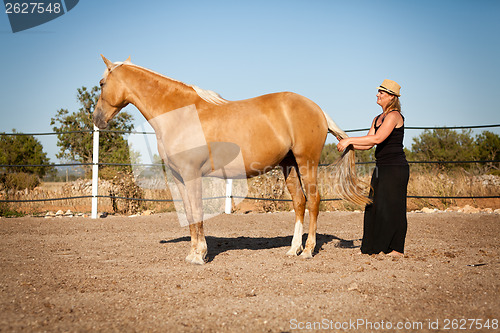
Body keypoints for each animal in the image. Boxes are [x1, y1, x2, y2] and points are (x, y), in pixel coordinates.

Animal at [94, 55, 370, 264]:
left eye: (102, 83)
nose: (97, 119)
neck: (180, 114)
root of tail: (317, 109)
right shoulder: (179, 177)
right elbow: (190, 213)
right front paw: (192, 254)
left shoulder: (192, 175)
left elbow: (198, 212)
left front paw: (200, 255)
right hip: (289, 165)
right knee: (299, 202)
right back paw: (293, 249)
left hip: (307, 162)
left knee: (313, 201)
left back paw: (309, 250)